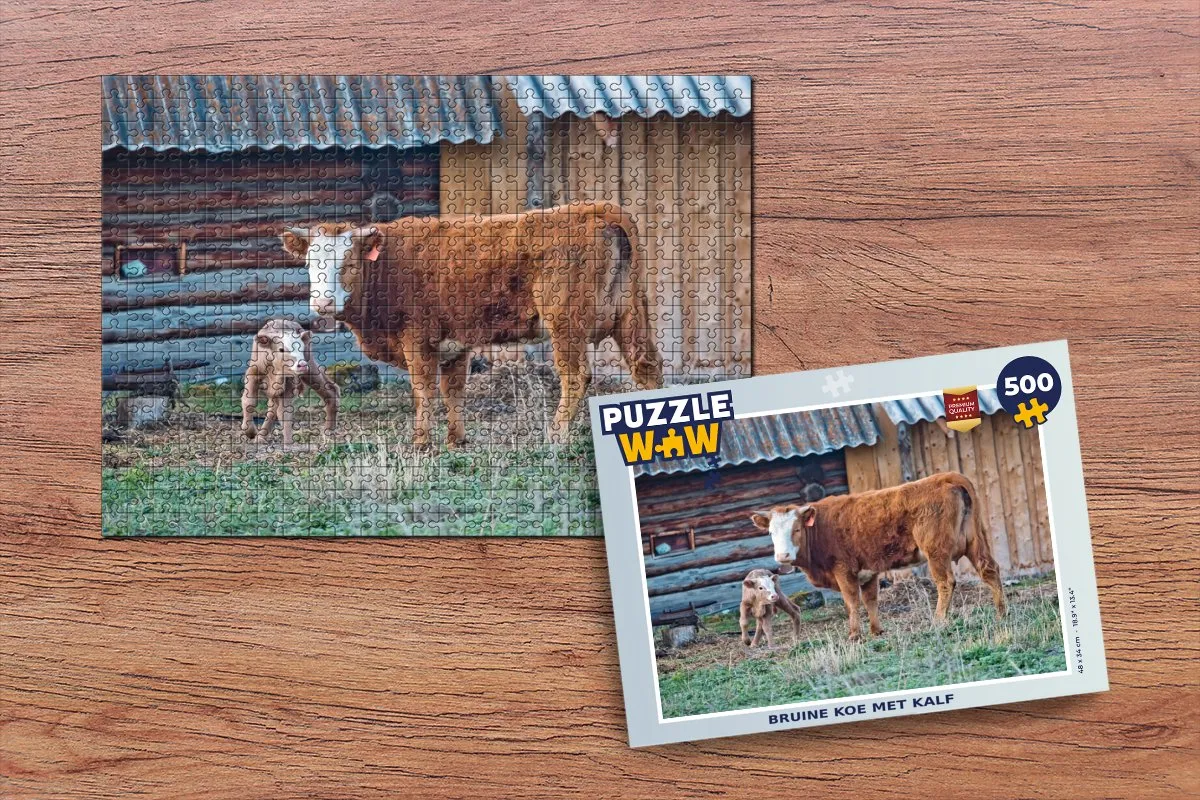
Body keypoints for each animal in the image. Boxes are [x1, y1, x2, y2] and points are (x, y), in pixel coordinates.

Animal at [281, 202, 664, 449]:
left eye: (347, 264)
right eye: (310, 263)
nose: (322, 303)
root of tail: (595, 208)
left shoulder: (417, 340)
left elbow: (424, 390)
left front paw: (421, 443)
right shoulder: (454, 345)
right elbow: (453, 391)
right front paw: (456, 440)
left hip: (565, 323)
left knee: (576, 375)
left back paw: (555, 434)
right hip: (630, 313)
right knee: (647, 365)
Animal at [750, 472, 1006, 641]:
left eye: (796, 529)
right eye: (771, 532)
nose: (782, 555)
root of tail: (948, 476)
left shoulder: (844, 570)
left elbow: (852, 602)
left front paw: (855, 635)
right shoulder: (868, 572)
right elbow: (870, 600)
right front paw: (876, 631)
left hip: (936, 550)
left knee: (945, 582)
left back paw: (939, 620)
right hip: (975, 540)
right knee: (989, 570)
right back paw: (1001, 613)